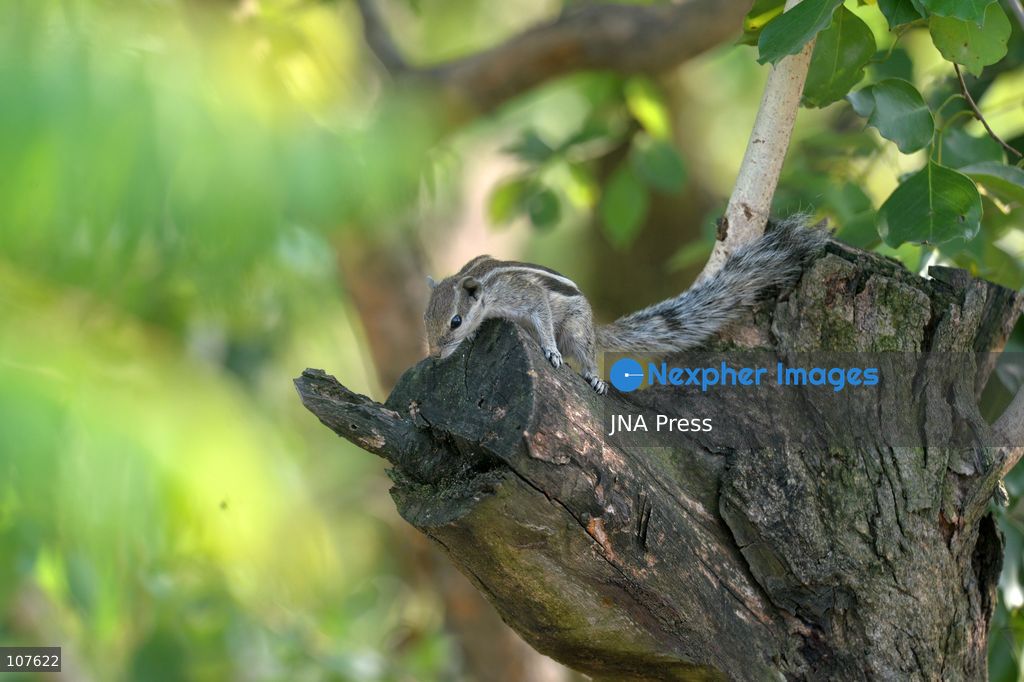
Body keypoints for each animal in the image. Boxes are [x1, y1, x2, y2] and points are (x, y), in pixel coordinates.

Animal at [424, 216, 827, 394]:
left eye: (455, 320)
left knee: (590, 353)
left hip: (577, 328)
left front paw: (550, 351)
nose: (435, 356)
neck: (482, 283)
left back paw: (593, 376)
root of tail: (595, 326)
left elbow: (540, 313)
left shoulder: (525, 295)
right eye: (427, 318)